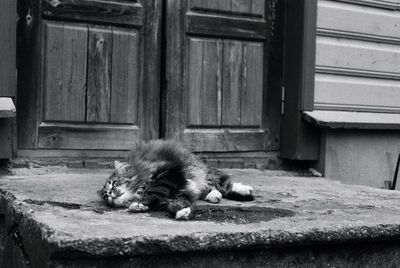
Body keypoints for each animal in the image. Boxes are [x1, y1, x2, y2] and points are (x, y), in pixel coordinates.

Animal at [99, 140, 253, 220]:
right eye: (105, 196)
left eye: (114, 183)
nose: (110, 194)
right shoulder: (177, 193)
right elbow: (179, 204)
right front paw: (184, 212)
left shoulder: (168, 173)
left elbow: (152, 191)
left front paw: (140, 204)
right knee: (211, 189)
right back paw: (214, 195)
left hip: (202, 171)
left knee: (224, 184)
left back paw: (245, 190)